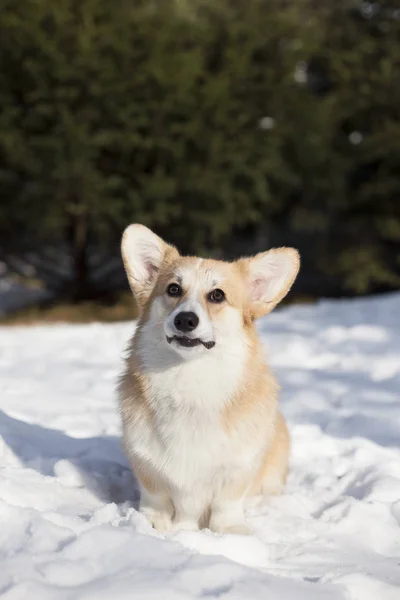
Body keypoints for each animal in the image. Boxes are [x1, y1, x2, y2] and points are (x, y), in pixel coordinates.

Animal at [119, 225, 300, 536]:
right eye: (173, 289)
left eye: (217, 295)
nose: (185, 320)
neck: (189, 376)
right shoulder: (146, 464)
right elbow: (155, 497)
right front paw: (152, 524)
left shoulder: (237, 470)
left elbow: (226, 504)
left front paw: (230, 531)